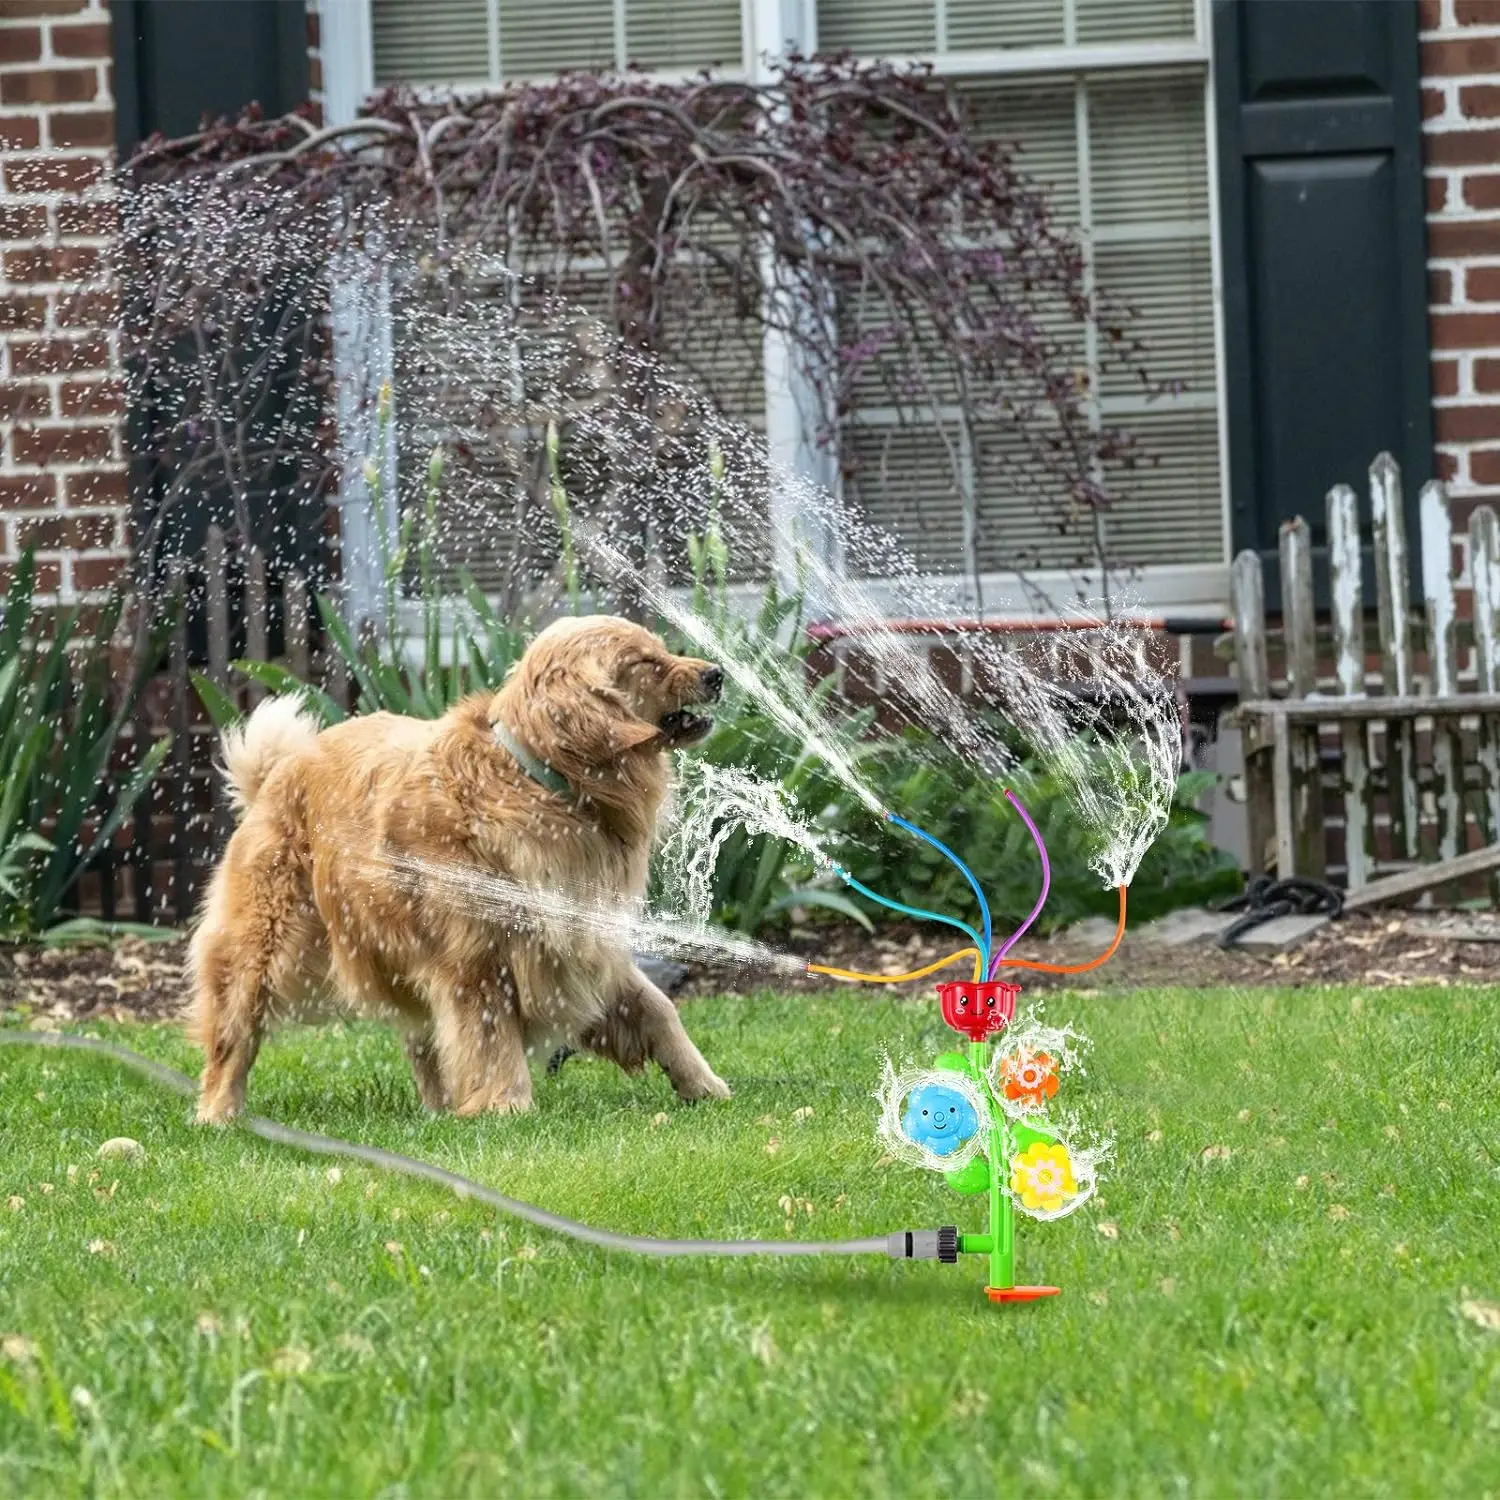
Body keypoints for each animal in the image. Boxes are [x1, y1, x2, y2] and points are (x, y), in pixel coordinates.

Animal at [187, 615, 732, 1122]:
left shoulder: (581, 937)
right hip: (263, 945)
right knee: (234, 1033)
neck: (546, 787)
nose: (718, 673)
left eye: (661, 649)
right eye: (647, 662)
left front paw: (703, 1084)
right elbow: (492, 1040)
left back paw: (439, 1108)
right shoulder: (477, 958)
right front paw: (507, 1105)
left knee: (422, 1040)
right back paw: (219, 1113)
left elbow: (656, 1007)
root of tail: (276, 773)